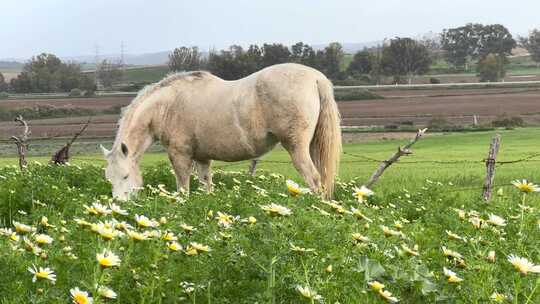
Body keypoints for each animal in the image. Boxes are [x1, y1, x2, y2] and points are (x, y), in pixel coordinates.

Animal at [101, 63, 342, 201]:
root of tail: (316, 78)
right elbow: (206, 186)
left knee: (314, 180)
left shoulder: (180, 156)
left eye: (125, 175)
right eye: (109, 178)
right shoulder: (202, 159)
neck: (166, 106)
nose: (119, 205)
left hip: (297, 148)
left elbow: (183, 189)